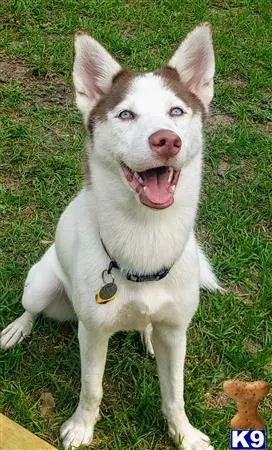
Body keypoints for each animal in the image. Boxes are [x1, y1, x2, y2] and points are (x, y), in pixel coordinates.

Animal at [1, 23, 220, 450]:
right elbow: (93, 388)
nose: (166, 140)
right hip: (40, 285)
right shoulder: (94, 332)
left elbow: (175, 392)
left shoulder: (176, 331)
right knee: (31, 309)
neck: (147, 238)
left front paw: (183, 434)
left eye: (176, 111)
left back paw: (147, 335)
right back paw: (17, 328)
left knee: (148, 328)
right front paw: (80, 427)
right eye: (126, 114)